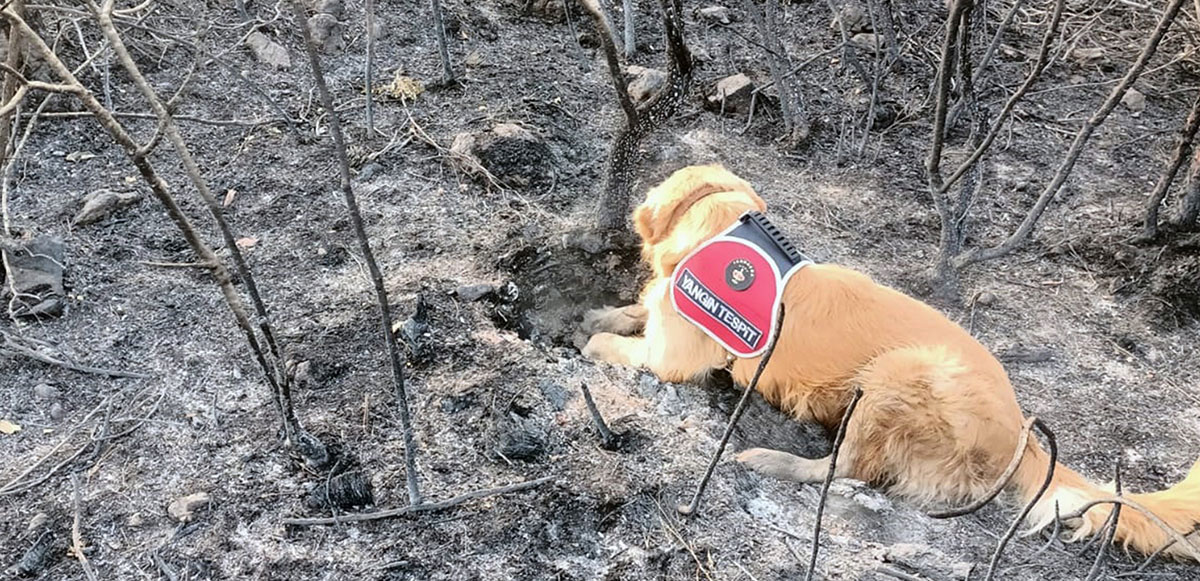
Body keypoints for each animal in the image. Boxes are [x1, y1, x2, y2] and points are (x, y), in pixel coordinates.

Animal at [580, 162, 1200, 559]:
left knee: (846, 468)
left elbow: (634, 348)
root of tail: (1020, 427)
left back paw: (774, 459)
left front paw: (592, 340)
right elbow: (635, 311)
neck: (725, 229)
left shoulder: (673, 356)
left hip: (897, 374)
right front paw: (602, 315)